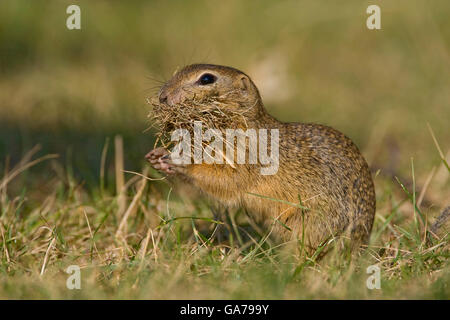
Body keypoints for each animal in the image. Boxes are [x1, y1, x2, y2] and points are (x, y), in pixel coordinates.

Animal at [145, 63, 376, 252]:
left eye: (207, 79)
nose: (163, 96)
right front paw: (159, 156)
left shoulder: (245, 160)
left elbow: (225, 181)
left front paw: (182, 163)